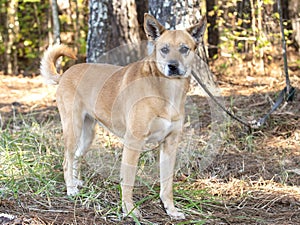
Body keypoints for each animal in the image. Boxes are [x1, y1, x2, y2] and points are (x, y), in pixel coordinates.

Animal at [39, 13, 206, 219]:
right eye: (164, 50)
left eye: (184, 49)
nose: (172, 66)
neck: (166, 90)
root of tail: (65, 74)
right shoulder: (133, 142)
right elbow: (128, 181)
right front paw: (130, 210)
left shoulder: (170, 144)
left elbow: (167, 185)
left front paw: (171, 210)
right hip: (73, 129)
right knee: (66, 160)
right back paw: (71, 188)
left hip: (87, 135)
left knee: (76, 157)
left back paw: (76, 181)